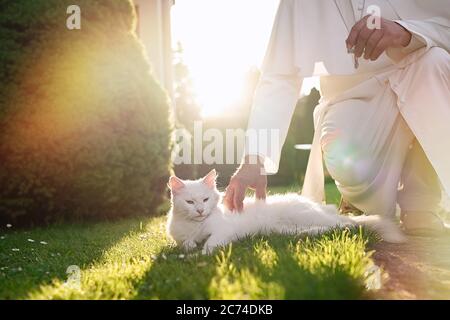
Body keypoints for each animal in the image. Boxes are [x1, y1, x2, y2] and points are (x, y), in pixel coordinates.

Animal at [167, 169, 406, 254]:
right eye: (190, 202)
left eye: (205, 200)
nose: (200, 210)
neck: (196, 225)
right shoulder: (181, 236)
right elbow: (186, 243)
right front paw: (191, 247)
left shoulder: (224, 231)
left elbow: (211, 243)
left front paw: (202, 252)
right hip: (283, 229)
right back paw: (304, 235)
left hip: (305, 215)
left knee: (346, 225)